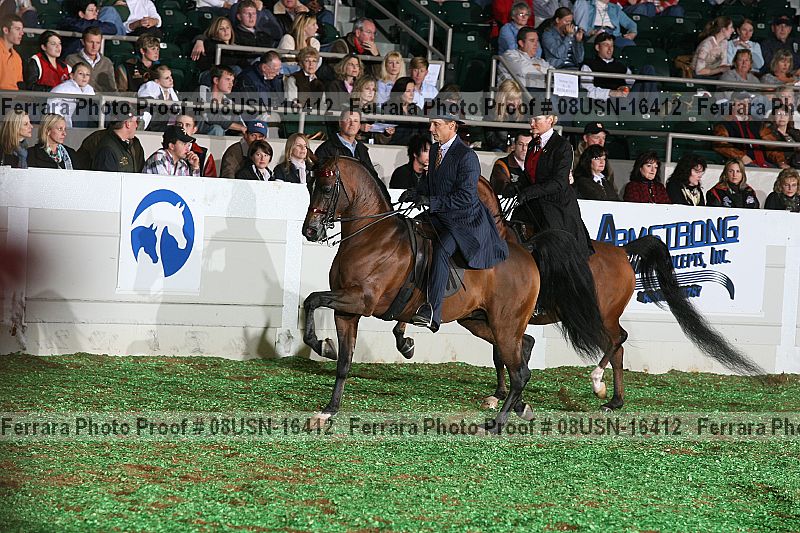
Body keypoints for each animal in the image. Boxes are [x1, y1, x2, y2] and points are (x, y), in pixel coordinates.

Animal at [301, 157, 612, 429]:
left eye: (326, 188)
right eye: (309, 186)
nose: (310, 231)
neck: (371, 235)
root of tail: (526, 251)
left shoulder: (361, 300)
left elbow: (313, 299)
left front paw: (323, 346)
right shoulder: (347, 310)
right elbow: (343, 361)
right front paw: (327, 409)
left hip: (504, 323)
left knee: (520, 370)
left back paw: (497, 424)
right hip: (479, 321)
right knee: (524, 347)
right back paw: (521, 407)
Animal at [391, 178, 763, 412]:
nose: (424, 220)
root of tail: (623, 252)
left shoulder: (504, 315)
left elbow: (504, 350)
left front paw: (504, 393)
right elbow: (500, 353)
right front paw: (499, 394)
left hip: (603, 313)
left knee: (617, 341)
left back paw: (599, 384)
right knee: (618, 347)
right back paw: (614, 400)